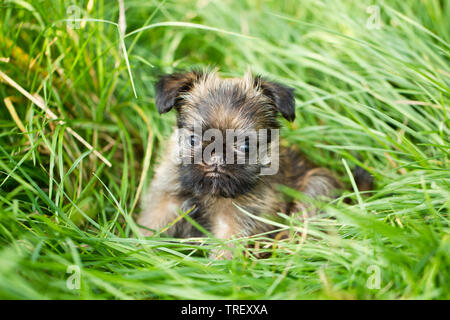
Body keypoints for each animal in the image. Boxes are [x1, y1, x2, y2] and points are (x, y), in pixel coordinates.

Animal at [137, 70, 344, 255]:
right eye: (193, 140)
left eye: (245, 146)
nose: (217, 157)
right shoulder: (164, 203)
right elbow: (148, 229)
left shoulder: (232, 223)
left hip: (318, 184)